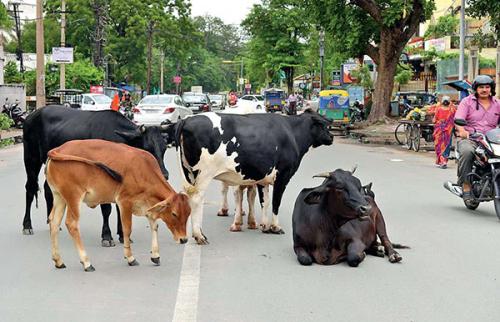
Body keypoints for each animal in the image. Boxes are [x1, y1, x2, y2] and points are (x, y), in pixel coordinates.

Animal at [22, 105, 170, 244]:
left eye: (164, 148)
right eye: (147, 148)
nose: (164, 174)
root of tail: (32, 115)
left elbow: (119, 207)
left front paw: (123, 235)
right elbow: (107, 208)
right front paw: (107, 236)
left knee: (48, 189)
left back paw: (52, 222)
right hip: (31, 158)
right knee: (30, 187)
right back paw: (27, 225)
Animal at [46, 139, 190, 272]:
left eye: (188, 214)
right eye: (174, 213)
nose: (184, 240)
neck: (144, 170)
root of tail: (58, 149)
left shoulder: (148, 206)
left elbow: (154, 226)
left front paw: (155, 255)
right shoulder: (124, 202)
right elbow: (127, 229)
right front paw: (130, 258)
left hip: (59, 197)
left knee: (54, 222)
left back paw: (58, 261)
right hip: (73, 197)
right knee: (71, 224)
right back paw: (87, 262)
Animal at [166, 109, 334, 244]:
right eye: (324, 125)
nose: (332, 137)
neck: (292, 132)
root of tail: (187, 119)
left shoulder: (263, 177)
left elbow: (264, 202)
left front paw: (264, 226)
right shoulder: (282, 176)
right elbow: (275, 202)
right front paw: (275, 227)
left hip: (189, 173)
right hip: (203, 174)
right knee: (197, 199)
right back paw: (199, 236)